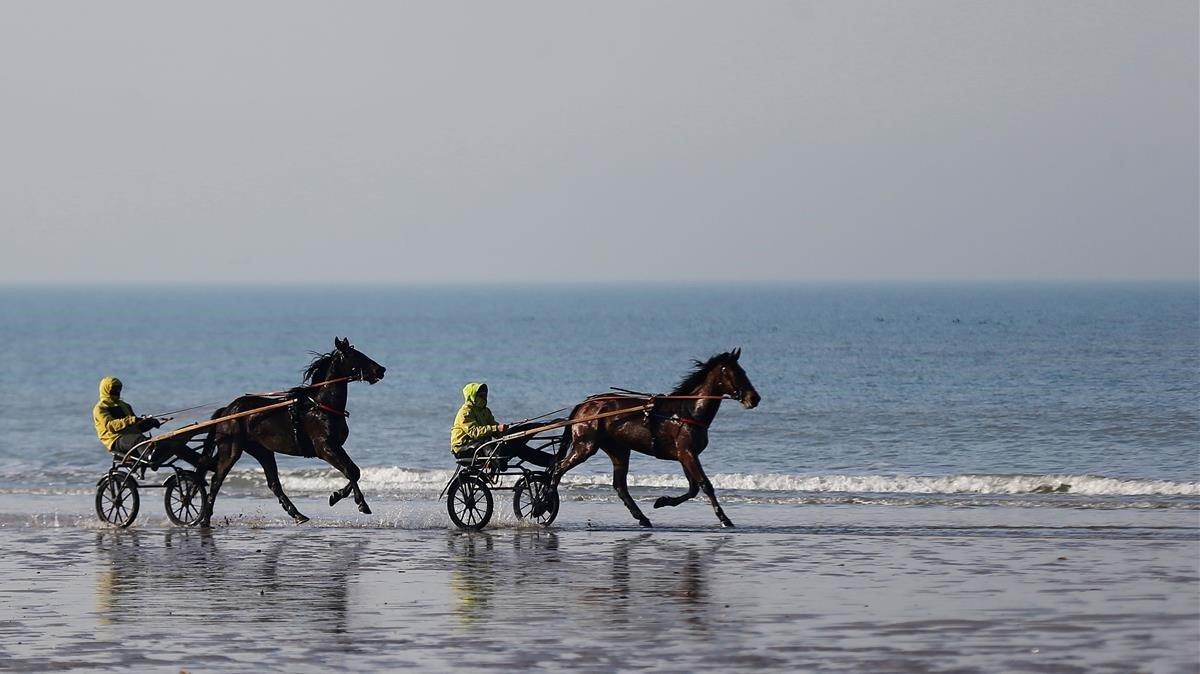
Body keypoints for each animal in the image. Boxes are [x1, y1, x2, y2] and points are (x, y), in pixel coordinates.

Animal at [198, 335, 384, 525]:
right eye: (356, 356)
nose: (381, 370)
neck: (321, 406)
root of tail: (227, 410)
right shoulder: (325, 447)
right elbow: (351, 470)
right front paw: (360, 503)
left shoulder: (335, 446)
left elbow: (355, 471)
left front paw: (336, 495)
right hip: (231, 449)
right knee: (216, 480)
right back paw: (205, 518)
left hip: (263, 451)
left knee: (274, 484)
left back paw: (298, 514)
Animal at [547, 347, 758, 527]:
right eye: (736, 373)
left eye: (744, 371)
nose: (755, 398)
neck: (689, 412)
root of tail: (585, 405)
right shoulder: (687, 452)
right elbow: (705, 485)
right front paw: (724, 519)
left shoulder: (685, 455)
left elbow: (693, 488)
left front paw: (662, 501)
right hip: (585, 445)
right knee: (558, 469)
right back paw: (546, 501)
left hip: (619, 450)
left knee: (620, 486)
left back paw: (642, 517)